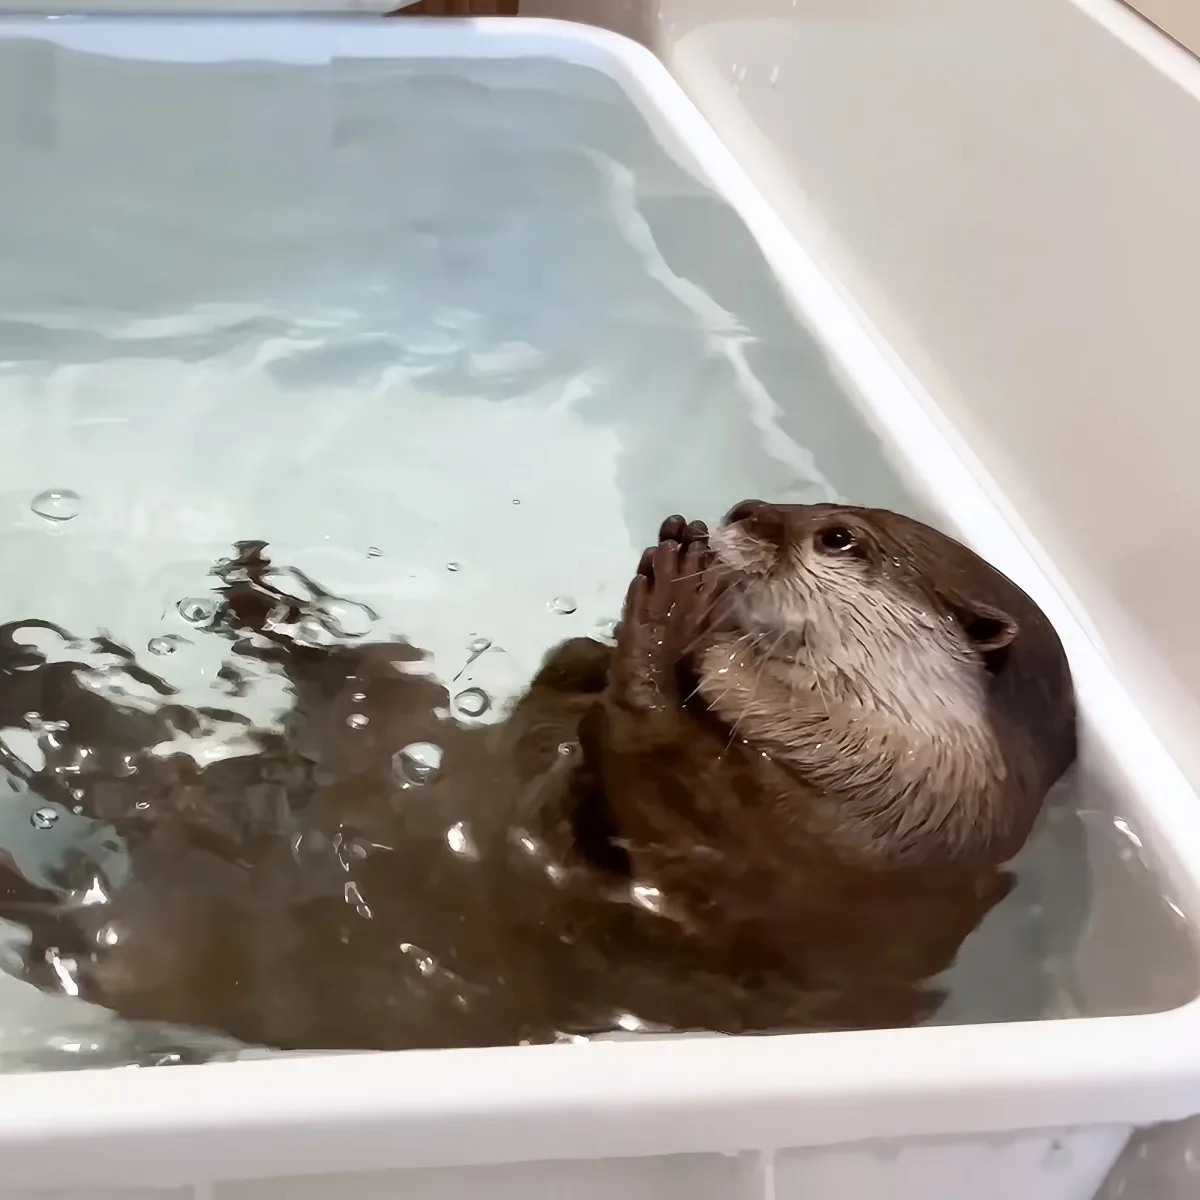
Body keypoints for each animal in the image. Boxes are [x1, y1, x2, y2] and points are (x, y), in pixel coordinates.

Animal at [0, 501, 1075, 1048]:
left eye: (837, 537)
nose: (738, 508)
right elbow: (565, 691)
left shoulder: (811, 874)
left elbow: (658, 801)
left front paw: (667, 616)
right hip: (385, 694)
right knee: (348, 670)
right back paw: (249, 602)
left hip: (172, 943)